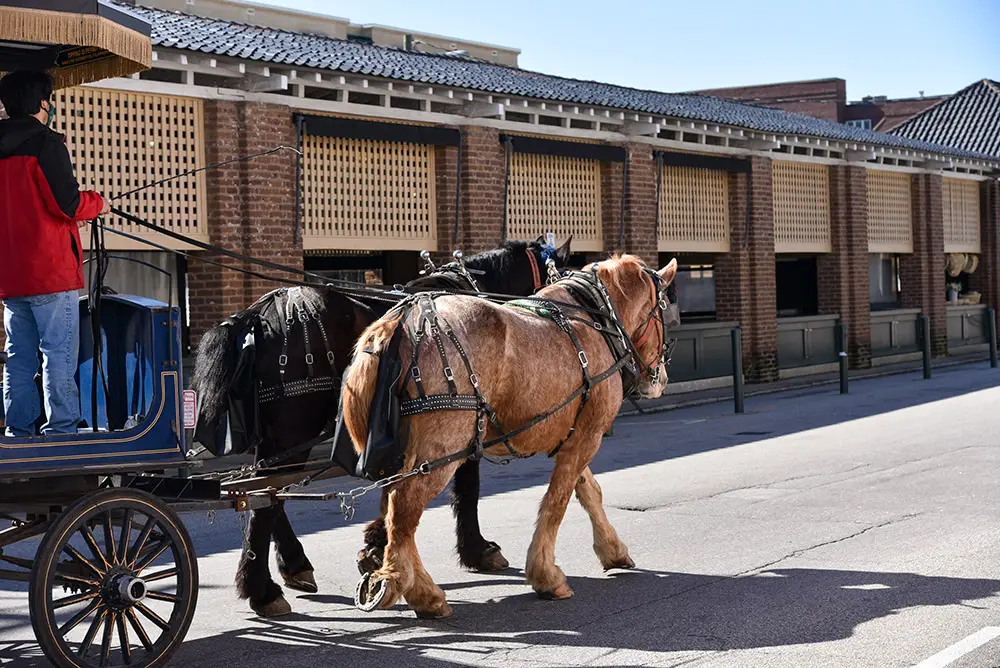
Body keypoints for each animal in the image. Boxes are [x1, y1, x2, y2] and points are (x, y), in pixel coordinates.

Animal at [193, 237, 572, 620]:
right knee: (265, 500)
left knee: (266, 493)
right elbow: (466, 487)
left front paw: (376, 546)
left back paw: (292, 566)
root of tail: (258, 315)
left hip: (278, 436)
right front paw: (477, 549)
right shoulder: (461, 422)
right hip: (294, 430)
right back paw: (263, 590)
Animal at [340, 254, 676, 616]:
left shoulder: (574, 435)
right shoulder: (588, 435)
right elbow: (557, 501)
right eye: (665, 312)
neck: (594, 321)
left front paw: (612, 550)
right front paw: (546, 576)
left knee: (392, 509)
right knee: (403, 512)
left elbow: (589, 492)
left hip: (404, 456)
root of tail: (397, 324)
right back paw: (415, 590)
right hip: (440, 453)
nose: (661, 379)